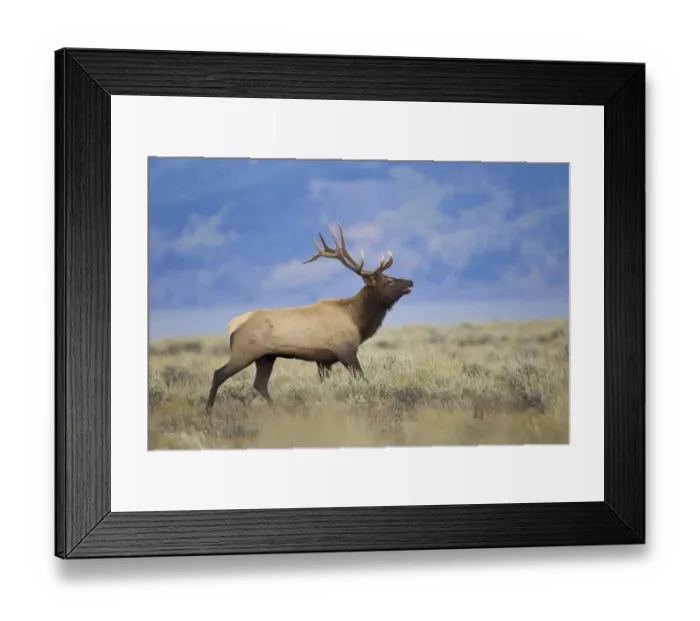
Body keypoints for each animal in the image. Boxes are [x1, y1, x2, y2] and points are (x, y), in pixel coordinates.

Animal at [205, 222, 414, 414]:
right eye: (389, 280)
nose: (410, 281)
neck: (357, 320)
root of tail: (232, 325)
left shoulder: (323, 360)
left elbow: (325, 385)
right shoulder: (346, 352)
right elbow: (362, 378)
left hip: (266, 357)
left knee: (259, 384)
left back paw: (278, 409)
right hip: (244, 352)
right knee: (219, 374)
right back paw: (208, 410)